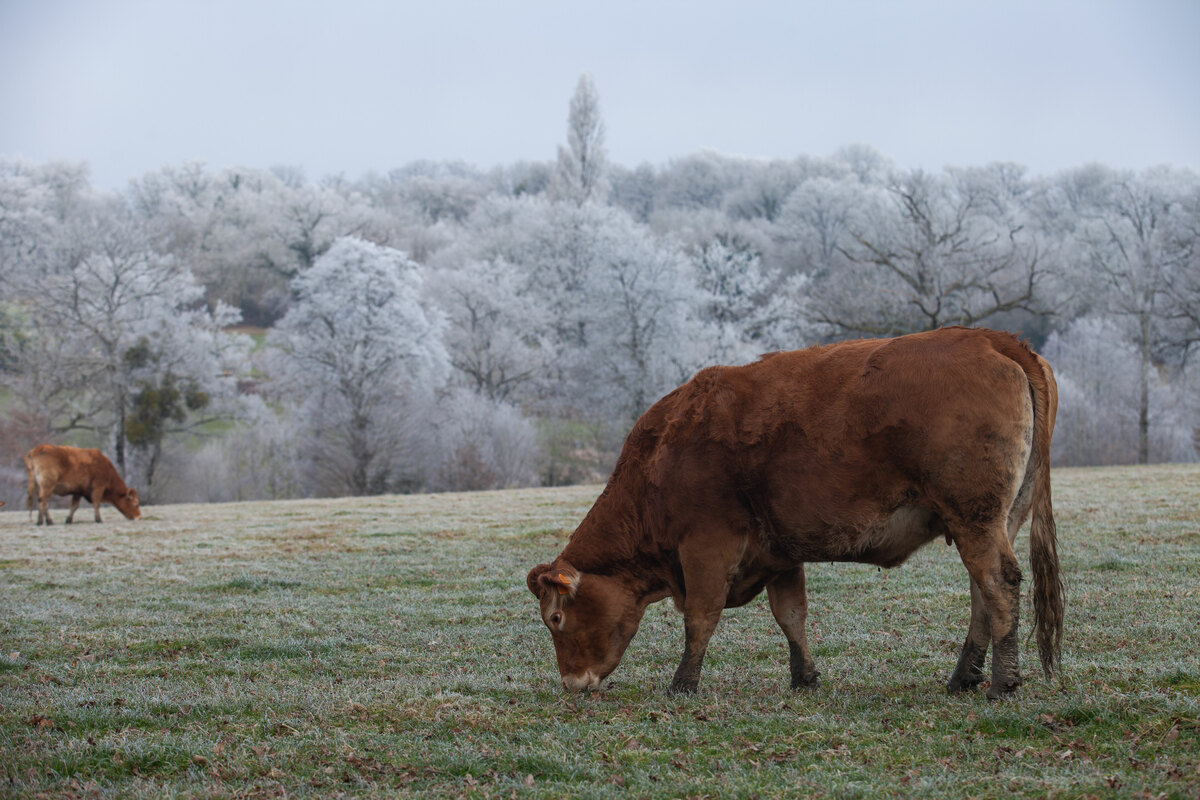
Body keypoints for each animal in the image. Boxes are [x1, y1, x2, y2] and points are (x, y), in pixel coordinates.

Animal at [528, 327, 1063, 699]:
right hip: (993, 518)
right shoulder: (780, 553)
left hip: (975, 516)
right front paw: (804, 677)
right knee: (983, 592)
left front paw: (682, 684)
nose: (573, 683)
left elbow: (701, 617)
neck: (662, 454)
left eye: (555, 618)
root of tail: (990, 338)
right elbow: (791, 615)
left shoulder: (706, 545)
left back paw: (1002, 683)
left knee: (999, 583)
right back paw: (963, 677)